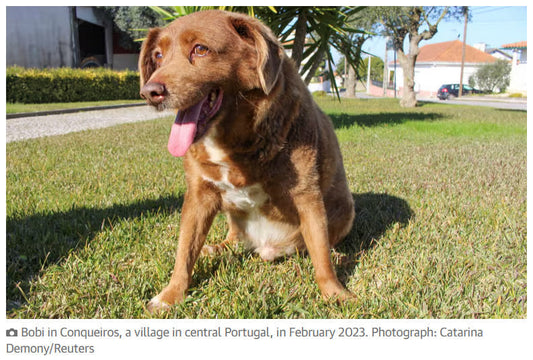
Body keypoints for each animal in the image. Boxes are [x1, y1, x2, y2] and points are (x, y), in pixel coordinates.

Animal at [138, 9, 354, 310]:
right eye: (158, 56)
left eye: (200, 49)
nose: (150, 92)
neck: (232, 140)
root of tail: (266, 246)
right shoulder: (198, 195)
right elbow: (184, 251)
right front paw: (171, 294)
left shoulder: (307, 195)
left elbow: (320, 254)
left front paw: (335, 293)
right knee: (231, 238)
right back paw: (216, 247)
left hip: (346, 210)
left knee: (322, 244)